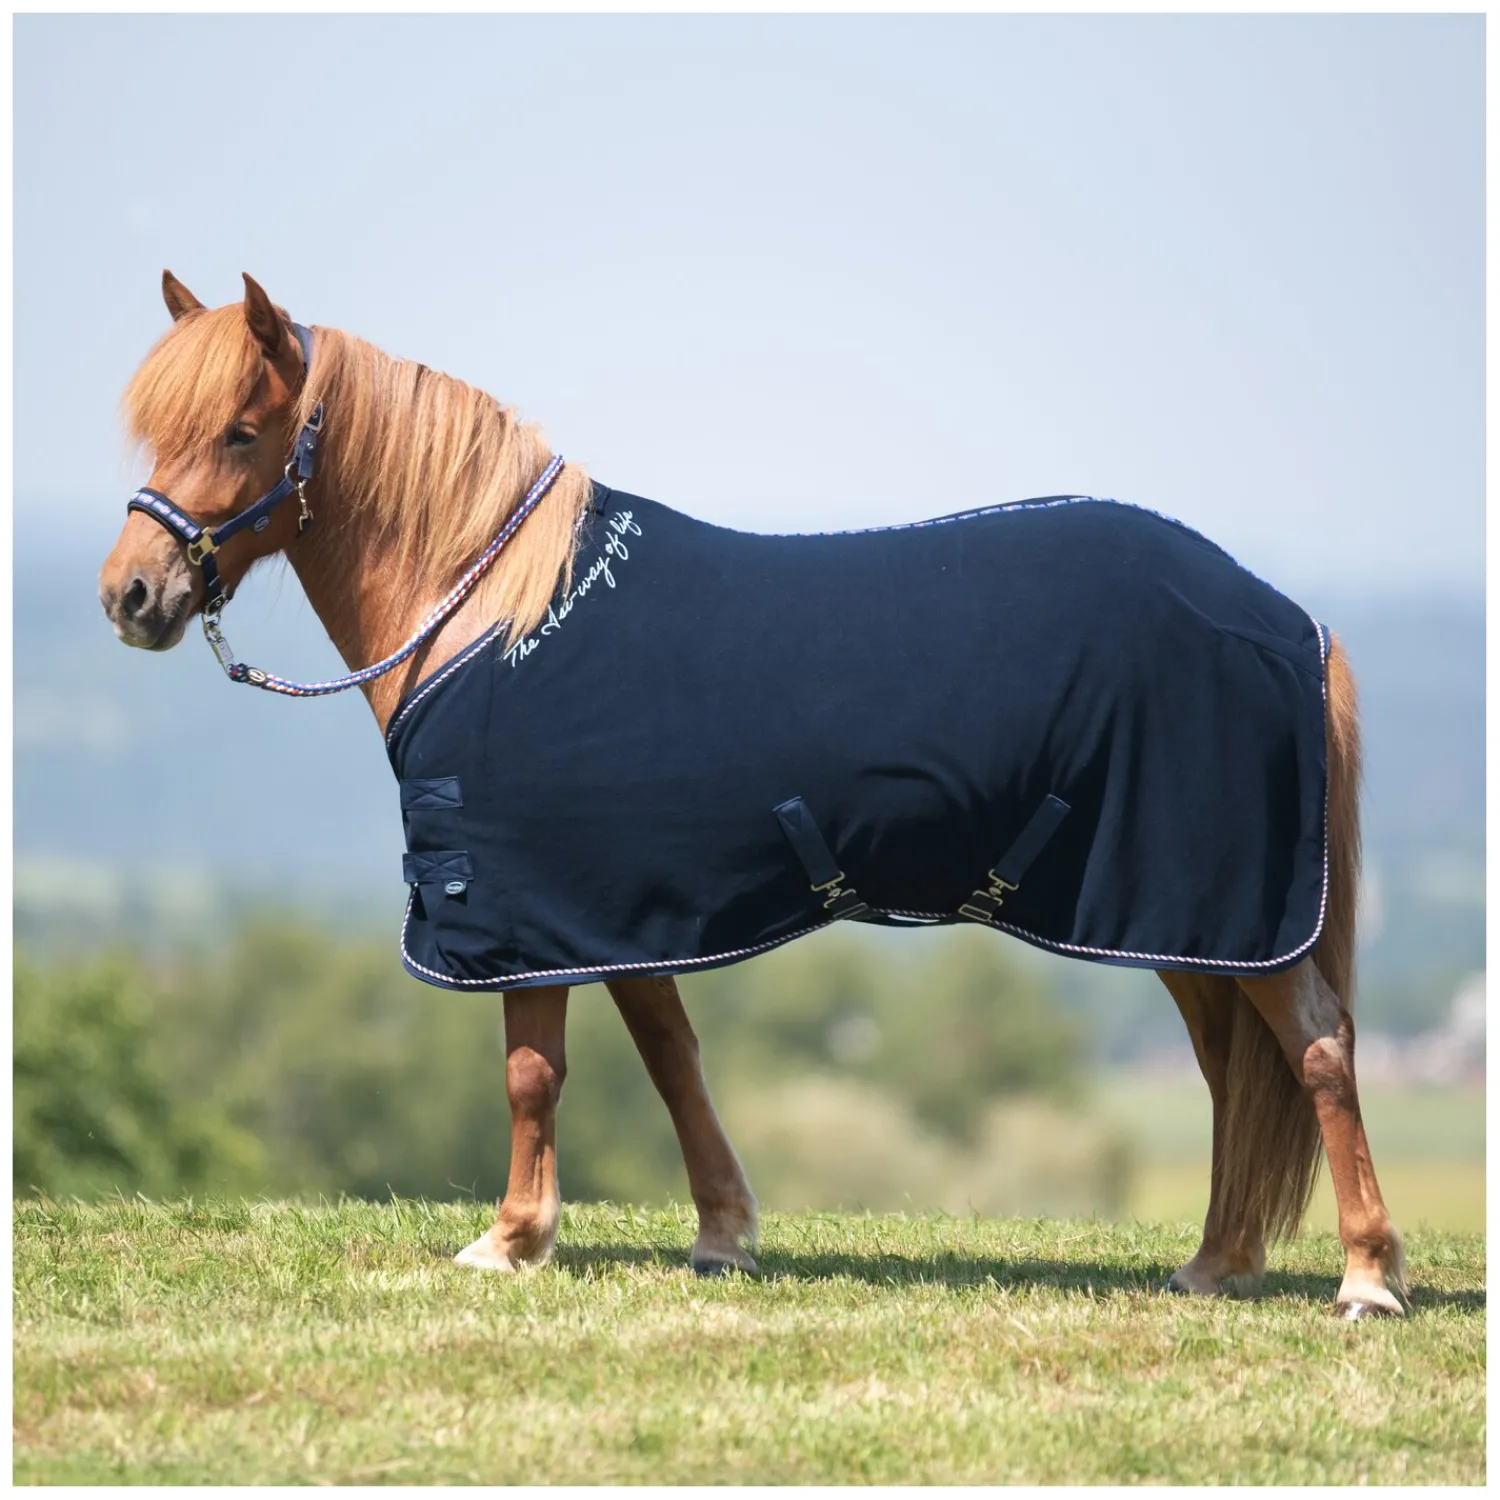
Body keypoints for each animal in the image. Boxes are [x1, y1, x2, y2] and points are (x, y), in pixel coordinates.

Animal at [98, 270, 1408, 1319]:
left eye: (241, 429)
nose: (131, 595)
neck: (494, 615)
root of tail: (1286, 618)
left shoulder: (521, 911)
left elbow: (533, 1073)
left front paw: (511, 1241)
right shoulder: (618, 912)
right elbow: (672, 1055)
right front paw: (723, 1235)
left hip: (1215, 904)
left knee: (1318, 1049)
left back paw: (1367, 1280)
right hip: (1184, 922)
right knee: (1236, 1072)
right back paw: (1214, 1263)